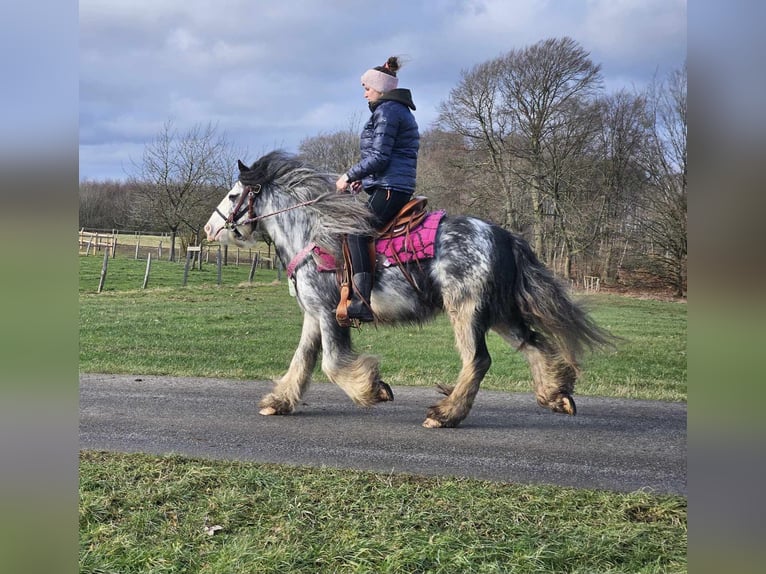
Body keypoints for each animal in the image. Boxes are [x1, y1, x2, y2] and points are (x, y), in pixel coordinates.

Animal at [204, 151, 612, 430]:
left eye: (233, 195)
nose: (209, 229)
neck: (313, 233)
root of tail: (504, 237)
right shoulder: (314, 314)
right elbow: (302, 359)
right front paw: (280, 400)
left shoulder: (327, 312)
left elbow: (332, 363)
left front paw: (372, 388)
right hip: (499, 314)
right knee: (532, 344)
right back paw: (555, 395)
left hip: (467, 311)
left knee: (479, 360)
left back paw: (445, 414)